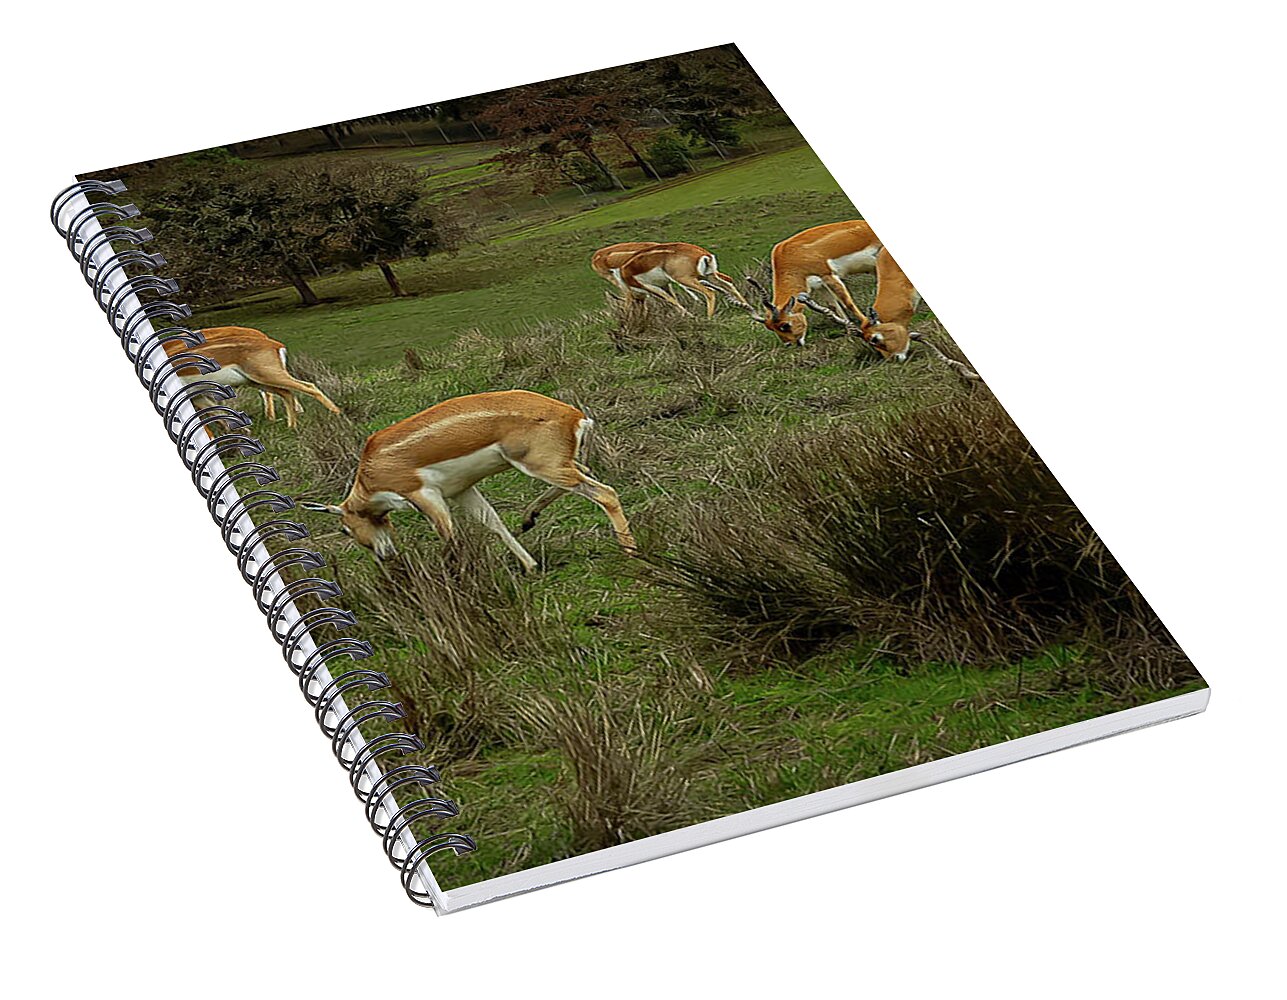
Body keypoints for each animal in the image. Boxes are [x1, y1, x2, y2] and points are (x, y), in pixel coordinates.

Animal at [166, 326, 342, 428]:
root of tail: (276, 345)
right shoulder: (197, 397)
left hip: (267, 376)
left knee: (307, 386)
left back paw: (337, 414)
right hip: (257, 380)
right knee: (286, 393)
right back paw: (291, 426)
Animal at [299, 390, 635, 572]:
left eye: (345, 529)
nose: (385, 556)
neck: (371, 470)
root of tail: (575, 416)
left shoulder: (424, 495)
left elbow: (449, 535)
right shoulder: (462, 490)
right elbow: (493, 523)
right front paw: (530, 566)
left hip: (539, 465)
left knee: (605, 493)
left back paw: (630, 551)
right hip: (553, 465)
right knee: (586, 475)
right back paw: (529, 518)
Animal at [617, 242, 750, 318]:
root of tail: (703, 254)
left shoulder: (649, 287)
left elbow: (671, 300)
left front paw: (690, 316)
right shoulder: (665, 285)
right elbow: (673, 299)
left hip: (685, 279)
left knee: (710, 292)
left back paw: (709, 318)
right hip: (709, 276)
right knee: (729, 284)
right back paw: (747, 306)